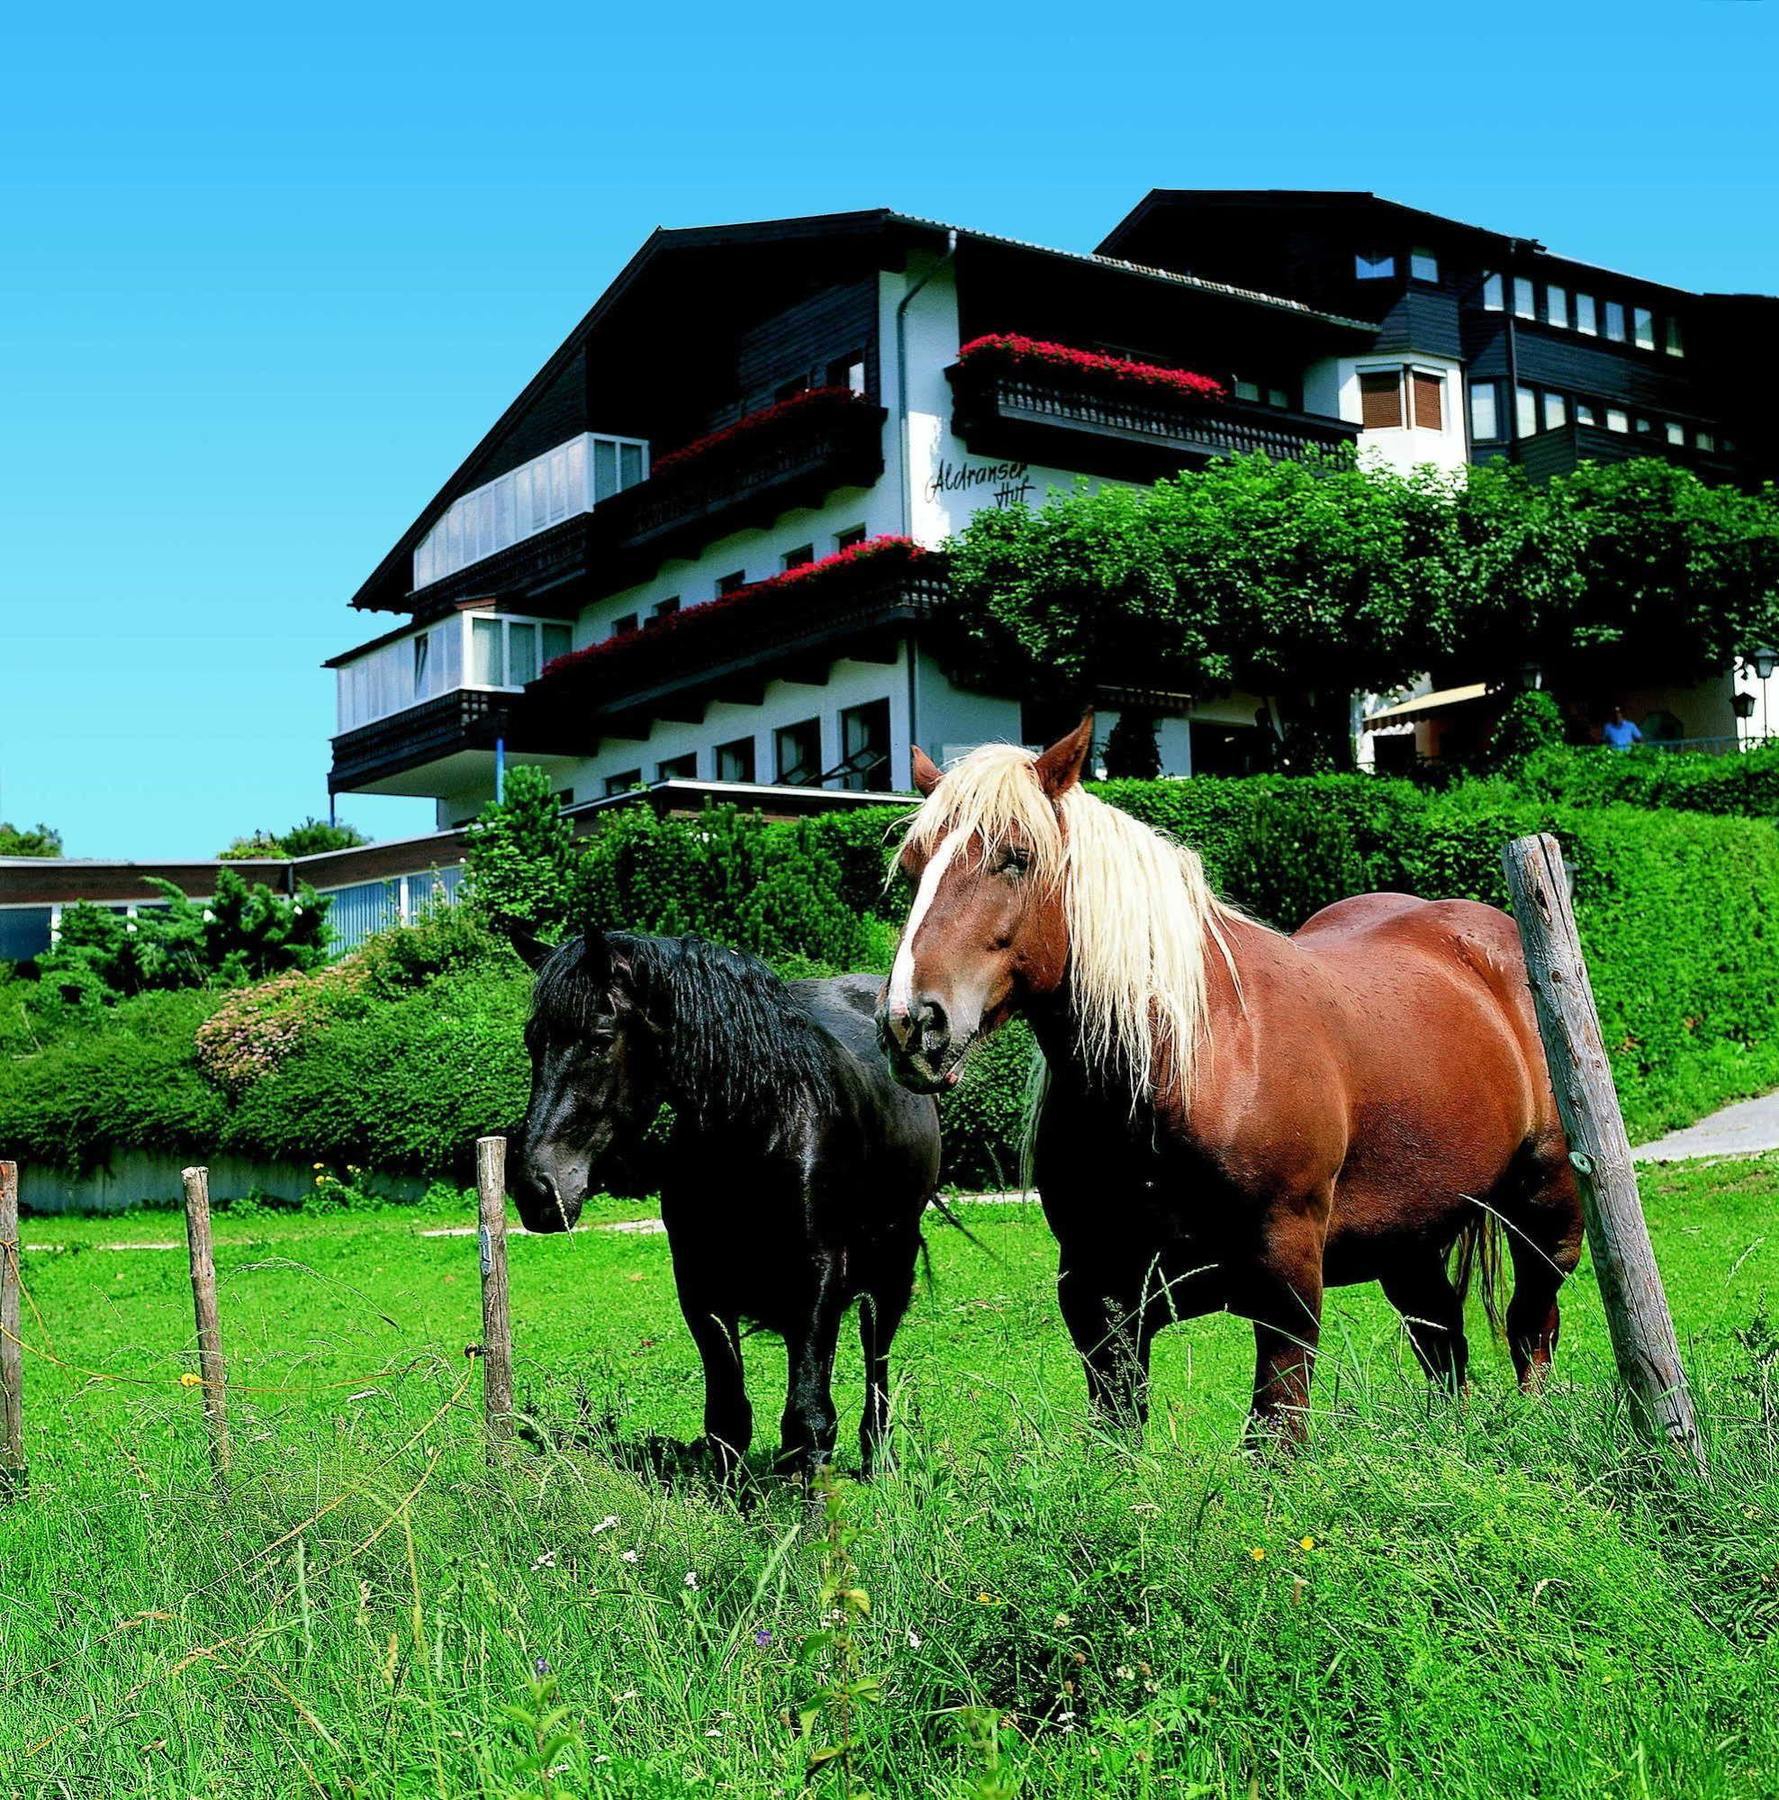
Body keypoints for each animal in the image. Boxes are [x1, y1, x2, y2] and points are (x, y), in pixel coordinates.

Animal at [507, 928, 943, 1476]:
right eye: (532, 1041)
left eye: (600, 1039)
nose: (535, 1189)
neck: (760, 1125)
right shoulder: (700, 1284)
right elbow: (728, 1419)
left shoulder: (818, 1275)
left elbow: (808, 1417)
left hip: (892, 1263)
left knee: (876, 1355)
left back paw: (877, 1459)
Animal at [875, 720, 1584, 1447]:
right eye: (914, 868)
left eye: (1014, 858)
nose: (911, 1022)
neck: (1181, 1068)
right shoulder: (1097, 1297)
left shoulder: (1285, 1286)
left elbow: (1273, 1439)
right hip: (1409, 1240)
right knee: (1442, 1340)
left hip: (1547, 1210)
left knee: (1531, 1325)